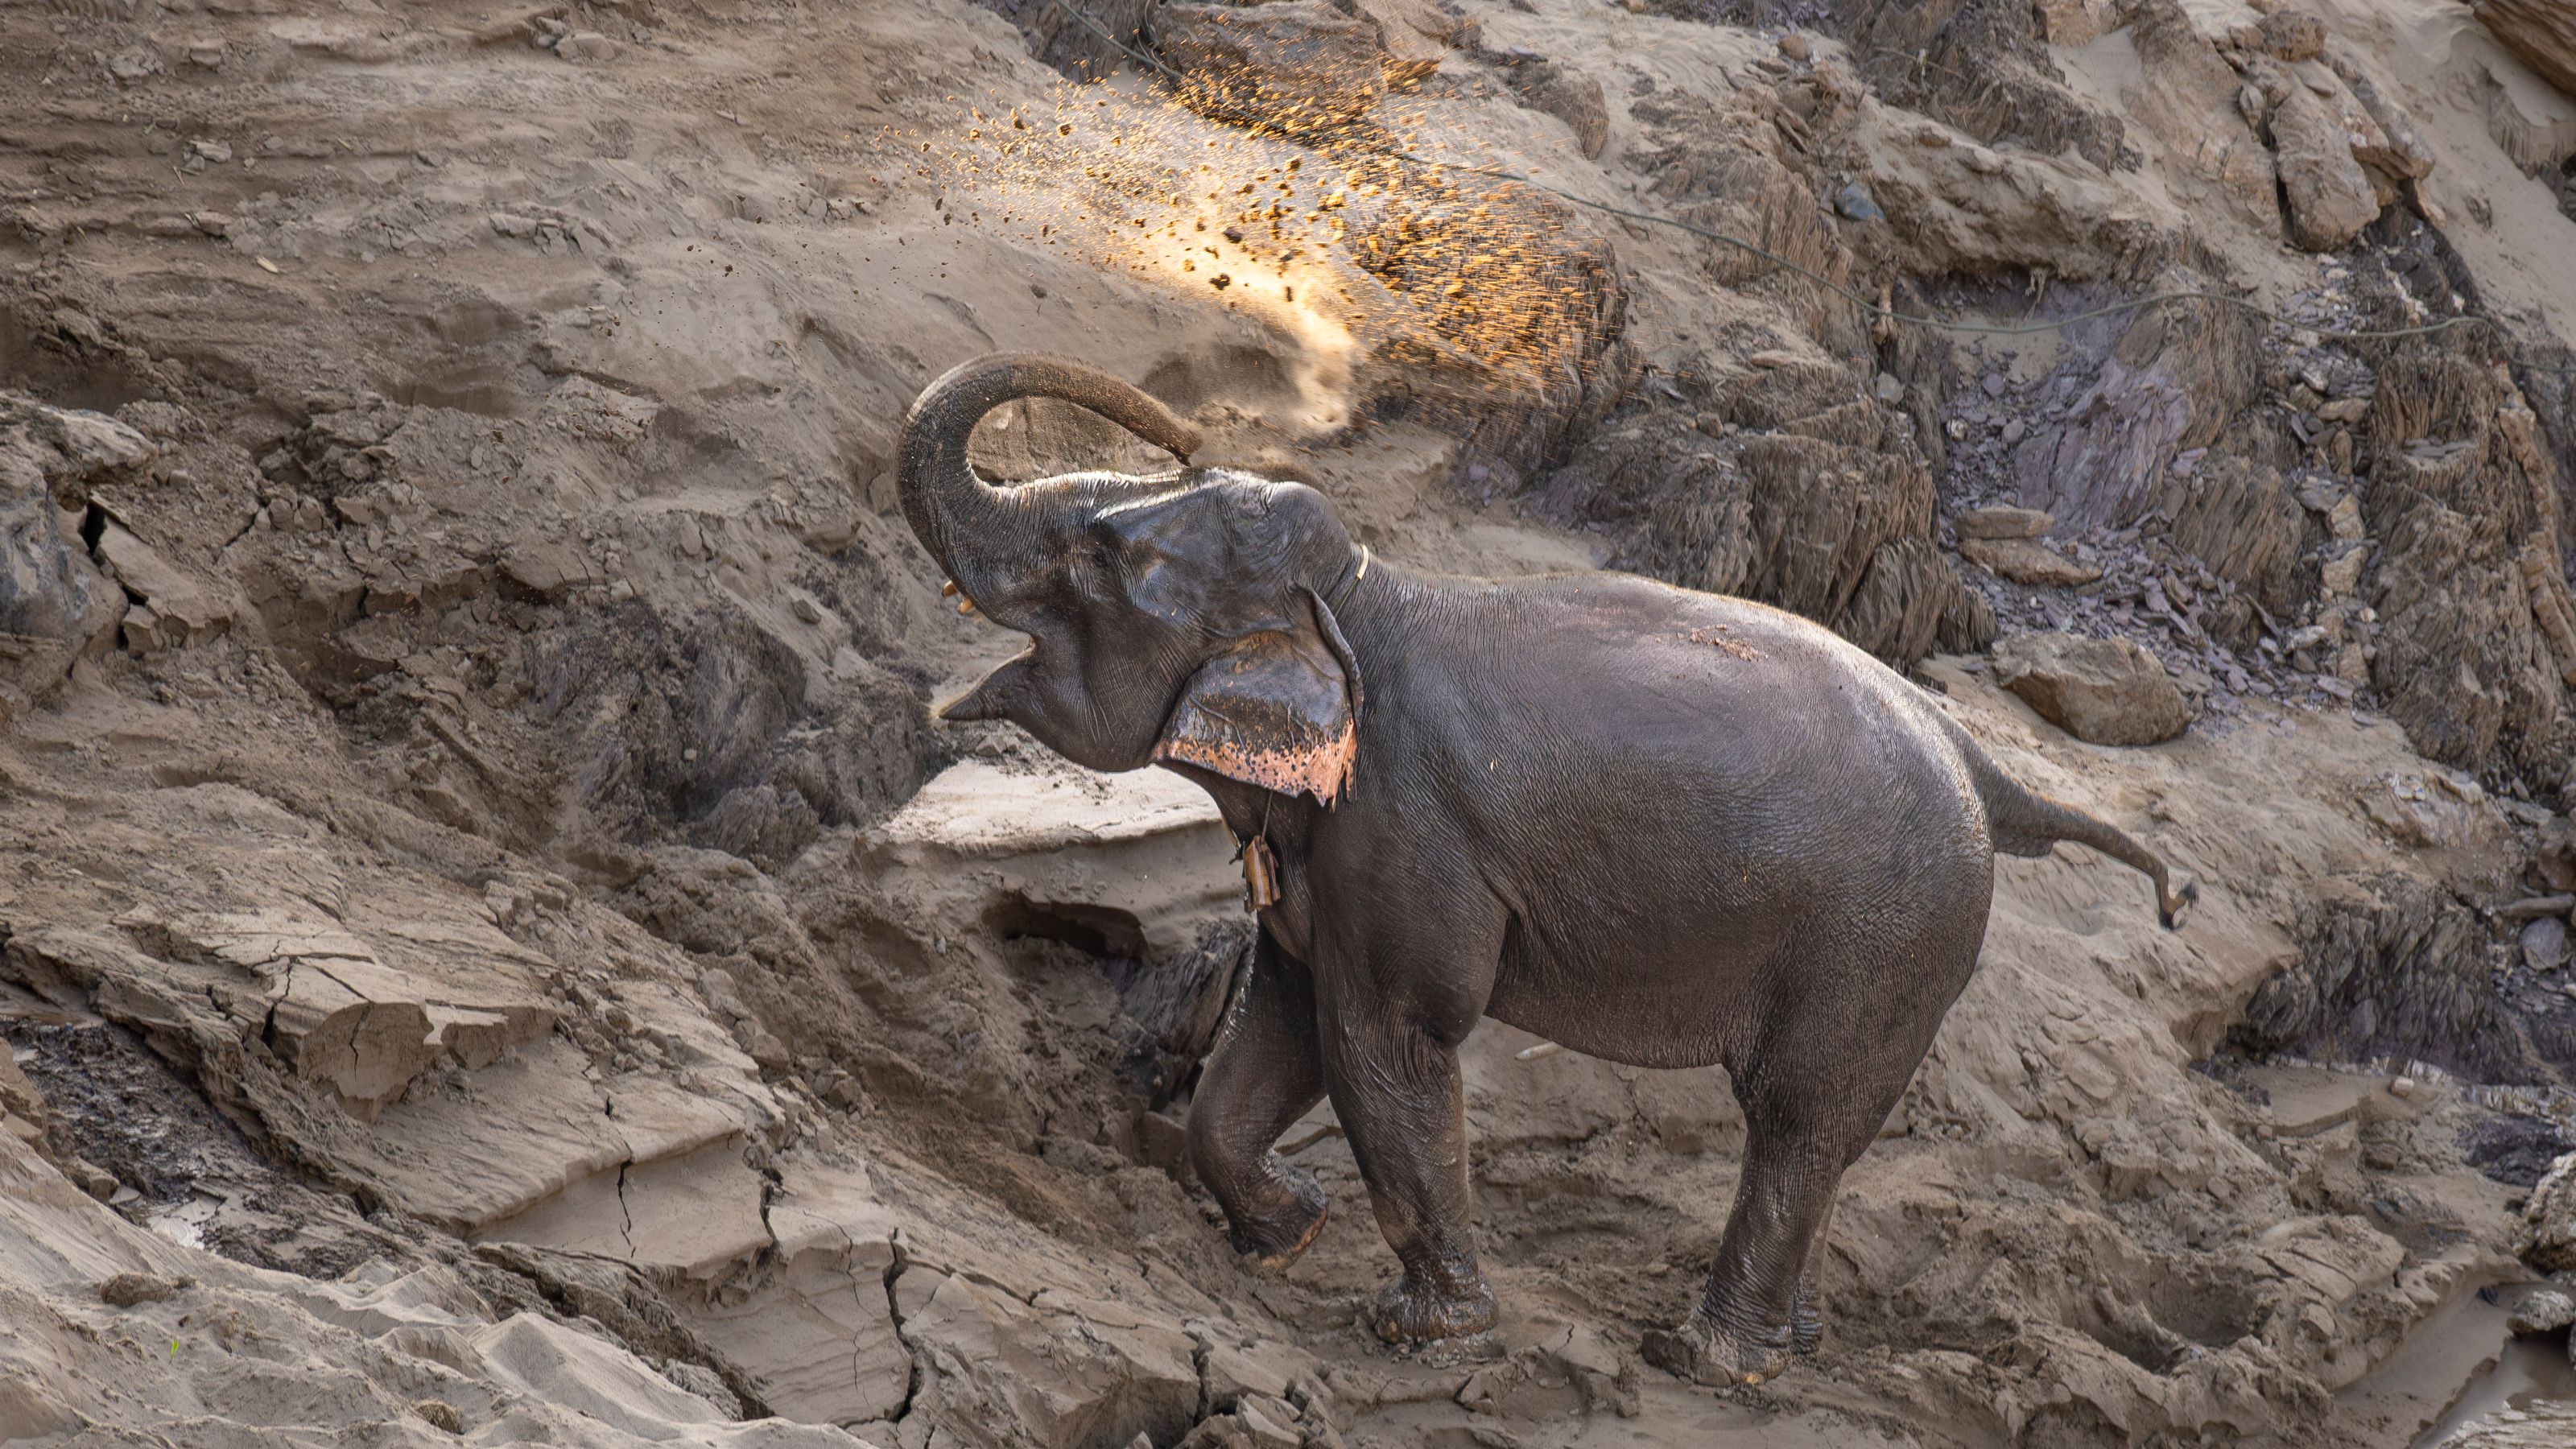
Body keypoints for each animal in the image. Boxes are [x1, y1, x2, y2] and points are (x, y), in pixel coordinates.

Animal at [896, 353, 2195, 1383]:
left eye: (1099, 558)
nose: (1179, 431)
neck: (1367, 595)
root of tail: (1984, 763)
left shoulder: (1405, 826)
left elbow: (1388, 1040)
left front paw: (1420, 1333)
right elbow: (1287, 1022)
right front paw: (1289, 1234)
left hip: (1884, 935)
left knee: (1796, 1119)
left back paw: (1707, 1362)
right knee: (1820, 1139)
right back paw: (1791, 1346)